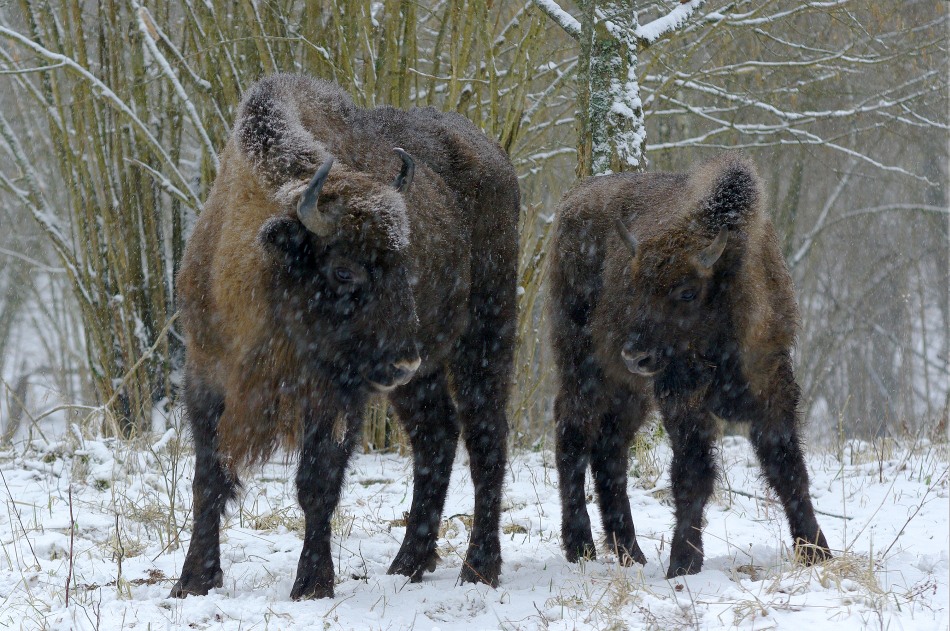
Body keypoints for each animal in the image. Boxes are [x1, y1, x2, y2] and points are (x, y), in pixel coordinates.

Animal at [167, 71, 516, 600]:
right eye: (344, 270)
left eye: (404, 262)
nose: (403, 362)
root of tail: (495, 156)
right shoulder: (206, 375)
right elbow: (209, 478)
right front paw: (192, 582)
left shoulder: (335, 395)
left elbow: (318, 482)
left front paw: (312, 584)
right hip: (422, 377)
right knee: (436, 436)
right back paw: (407, 564)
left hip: (485, 335)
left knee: (485, 438)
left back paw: (479, 568)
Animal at [552, 152, 832, 576]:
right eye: (634, 286)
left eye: (687, 292)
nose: (634, 354)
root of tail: (571, 202)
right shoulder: (685, 400)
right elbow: (693, 475)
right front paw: (683, 563)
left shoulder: (774, 389)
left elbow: (788, 469)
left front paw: (816, 551)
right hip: (582, 368)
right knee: (573, 435)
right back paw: (580, 547)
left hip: (629, 391)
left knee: (609, 450)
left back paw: (630, 553)